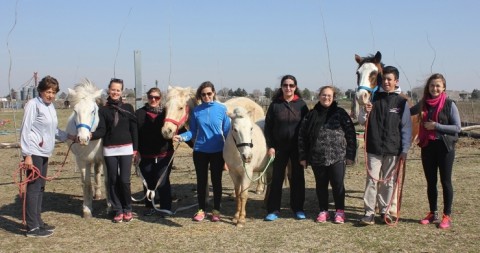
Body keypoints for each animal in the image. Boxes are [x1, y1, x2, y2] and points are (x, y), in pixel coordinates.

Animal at [65, 80, 109, 218]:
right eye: (75, 111)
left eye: (93, 111)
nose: (83, 139)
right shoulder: (82, 161)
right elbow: (86, 184)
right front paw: (87, 209)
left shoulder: (105, 159)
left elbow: (107, 181)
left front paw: (110, 206)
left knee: (98, 173)